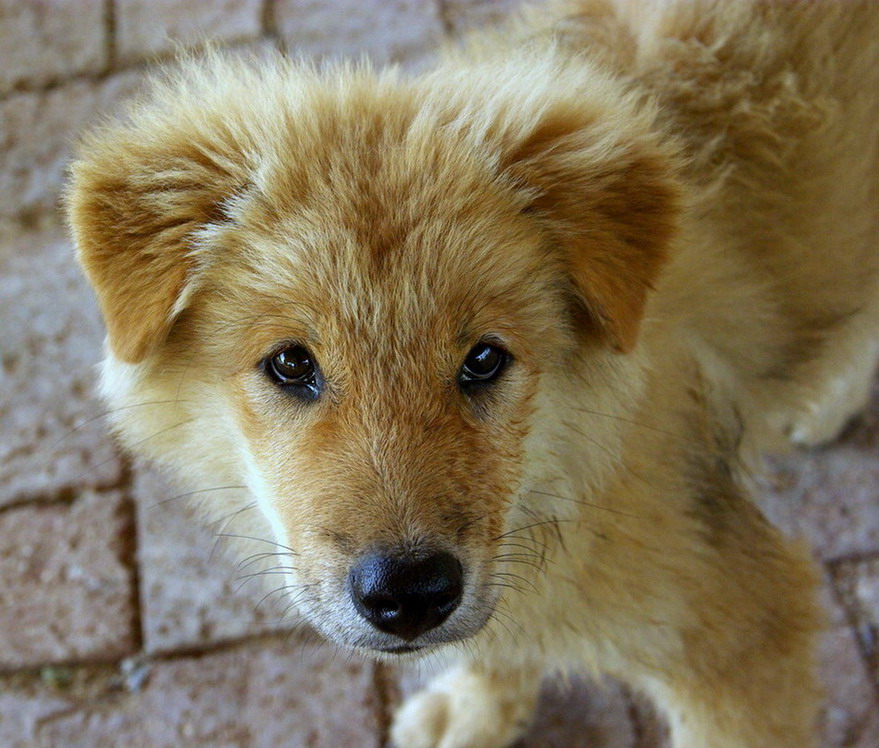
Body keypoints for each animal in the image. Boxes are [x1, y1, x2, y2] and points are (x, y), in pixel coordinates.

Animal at [67, 2, 879, 744]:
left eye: (484, 359)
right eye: (291, 363)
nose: (409, 596)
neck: (576, 464)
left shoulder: (740, 629)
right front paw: (480, 708)